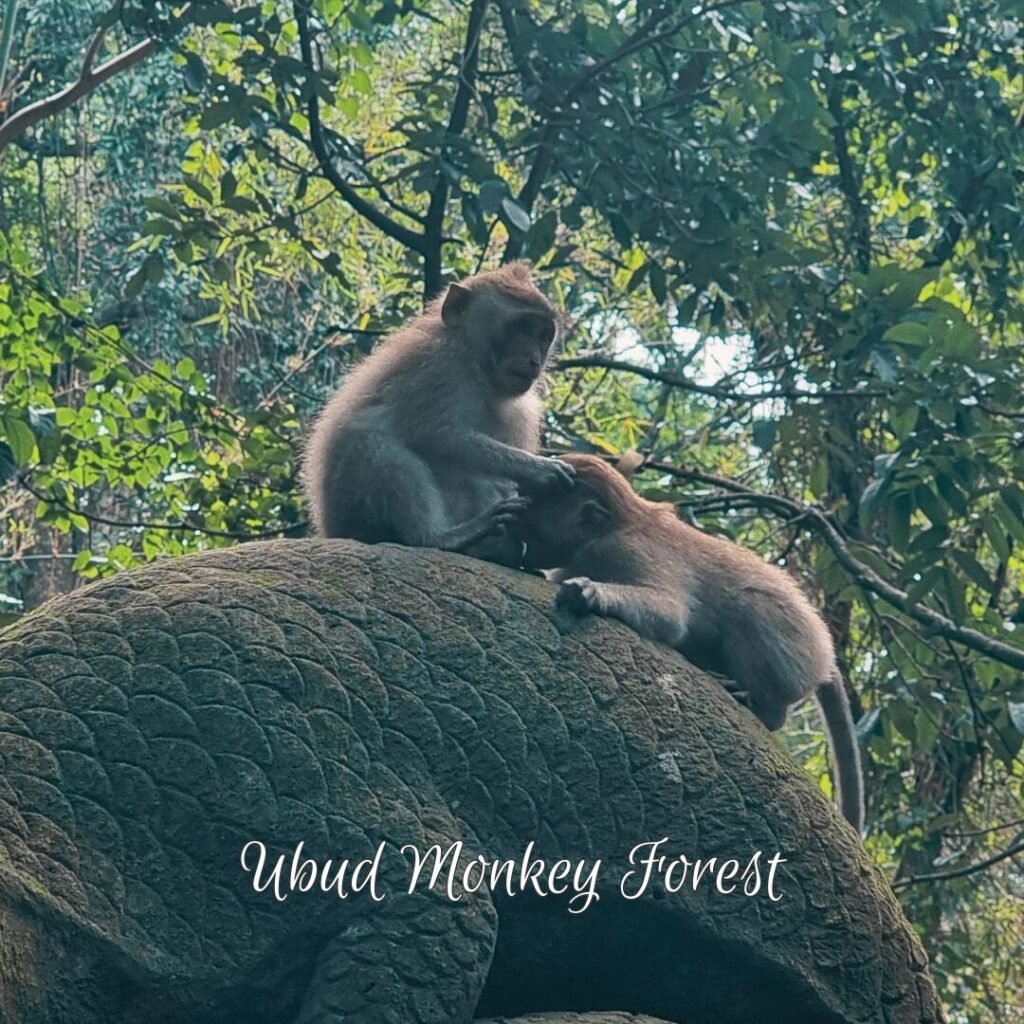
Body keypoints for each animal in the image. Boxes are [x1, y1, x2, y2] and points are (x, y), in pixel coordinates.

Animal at [303, 262, 577, 569]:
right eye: (522, 328)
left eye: (542, 335)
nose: (534, 360)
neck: (477, 363)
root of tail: (329, 529)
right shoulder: (438, 365)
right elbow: (437, 436)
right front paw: (538, 468)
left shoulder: (524, 410)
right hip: (351, 509)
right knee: (374, 444)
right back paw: (440, 537)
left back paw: (495, 549)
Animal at [512, 456, 864, 831]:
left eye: (531, 518)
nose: (518, 533)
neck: (614, 526)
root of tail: (826, 651)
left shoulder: (625, 551)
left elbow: (670, 616)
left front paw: (592, 593)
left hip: (799, 647)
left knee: (750, 605)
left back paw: (765, 710)